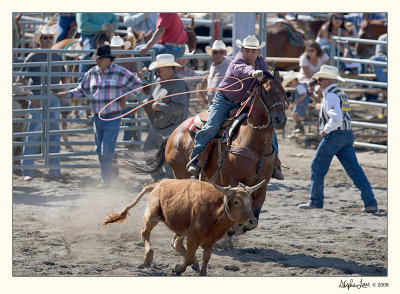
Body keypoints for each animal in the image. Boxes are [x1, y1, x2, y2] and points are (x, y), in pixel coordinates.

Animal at [103, 178, 266, 276]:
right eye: (236, 202)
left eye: (250, 201)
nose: (253, 221)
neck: (215, 210)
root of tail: (160, 183)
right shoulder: (193, 236)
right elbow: (188, 258)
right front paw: (177, 268)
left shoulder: (210, 240)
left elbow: (206, 258)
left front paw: (202, 272)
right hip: (152, 214)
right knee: (145, 233)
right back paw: (148, 258)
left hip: (181, 227)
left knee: (175, 242)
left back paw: (194, 263)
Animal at [125, 68, 288, 232]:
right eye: (266, 92)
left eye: (283, 91)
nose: (280, 119)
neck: (254, 142)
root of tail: (172, 135)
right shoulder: (231, 179)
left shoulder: (262, 185)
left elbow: (254, 212)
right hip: (180, 172)